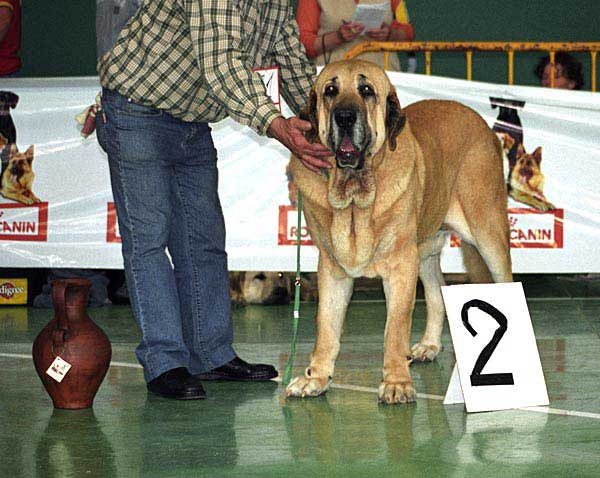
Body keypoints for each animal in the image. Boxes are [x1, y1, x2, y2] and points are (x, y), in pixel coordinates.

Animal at [286, 59, 510, 404]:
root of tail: (481, 123)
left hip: (488, 234)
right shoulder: (332, 269)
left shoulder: (401, 266)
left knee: (506, 282)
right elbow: (327, 326)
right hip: (425, 247)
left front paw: (396, 383)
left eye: (366, 90)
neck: (356, 198)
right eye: (330, 91)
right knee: (436, 291)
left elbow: (395, 328)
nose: (345, 116)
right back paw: (429, 345)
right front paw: (316, 378)